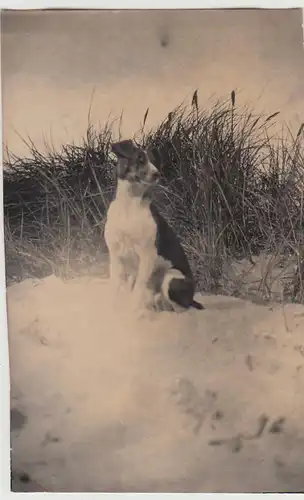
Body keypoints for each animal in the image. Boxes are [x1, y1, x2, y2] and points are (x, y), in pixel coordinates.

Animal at [104, 140, 204, 312]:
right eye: (140, 159)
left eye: (155, 161)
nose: (157, 174)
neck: (129, 205)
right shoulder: (116, 255)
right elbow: (115, 288)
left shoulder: (147, 256)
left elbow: (137, 290)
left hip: (171, 278)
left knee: (180, 308)